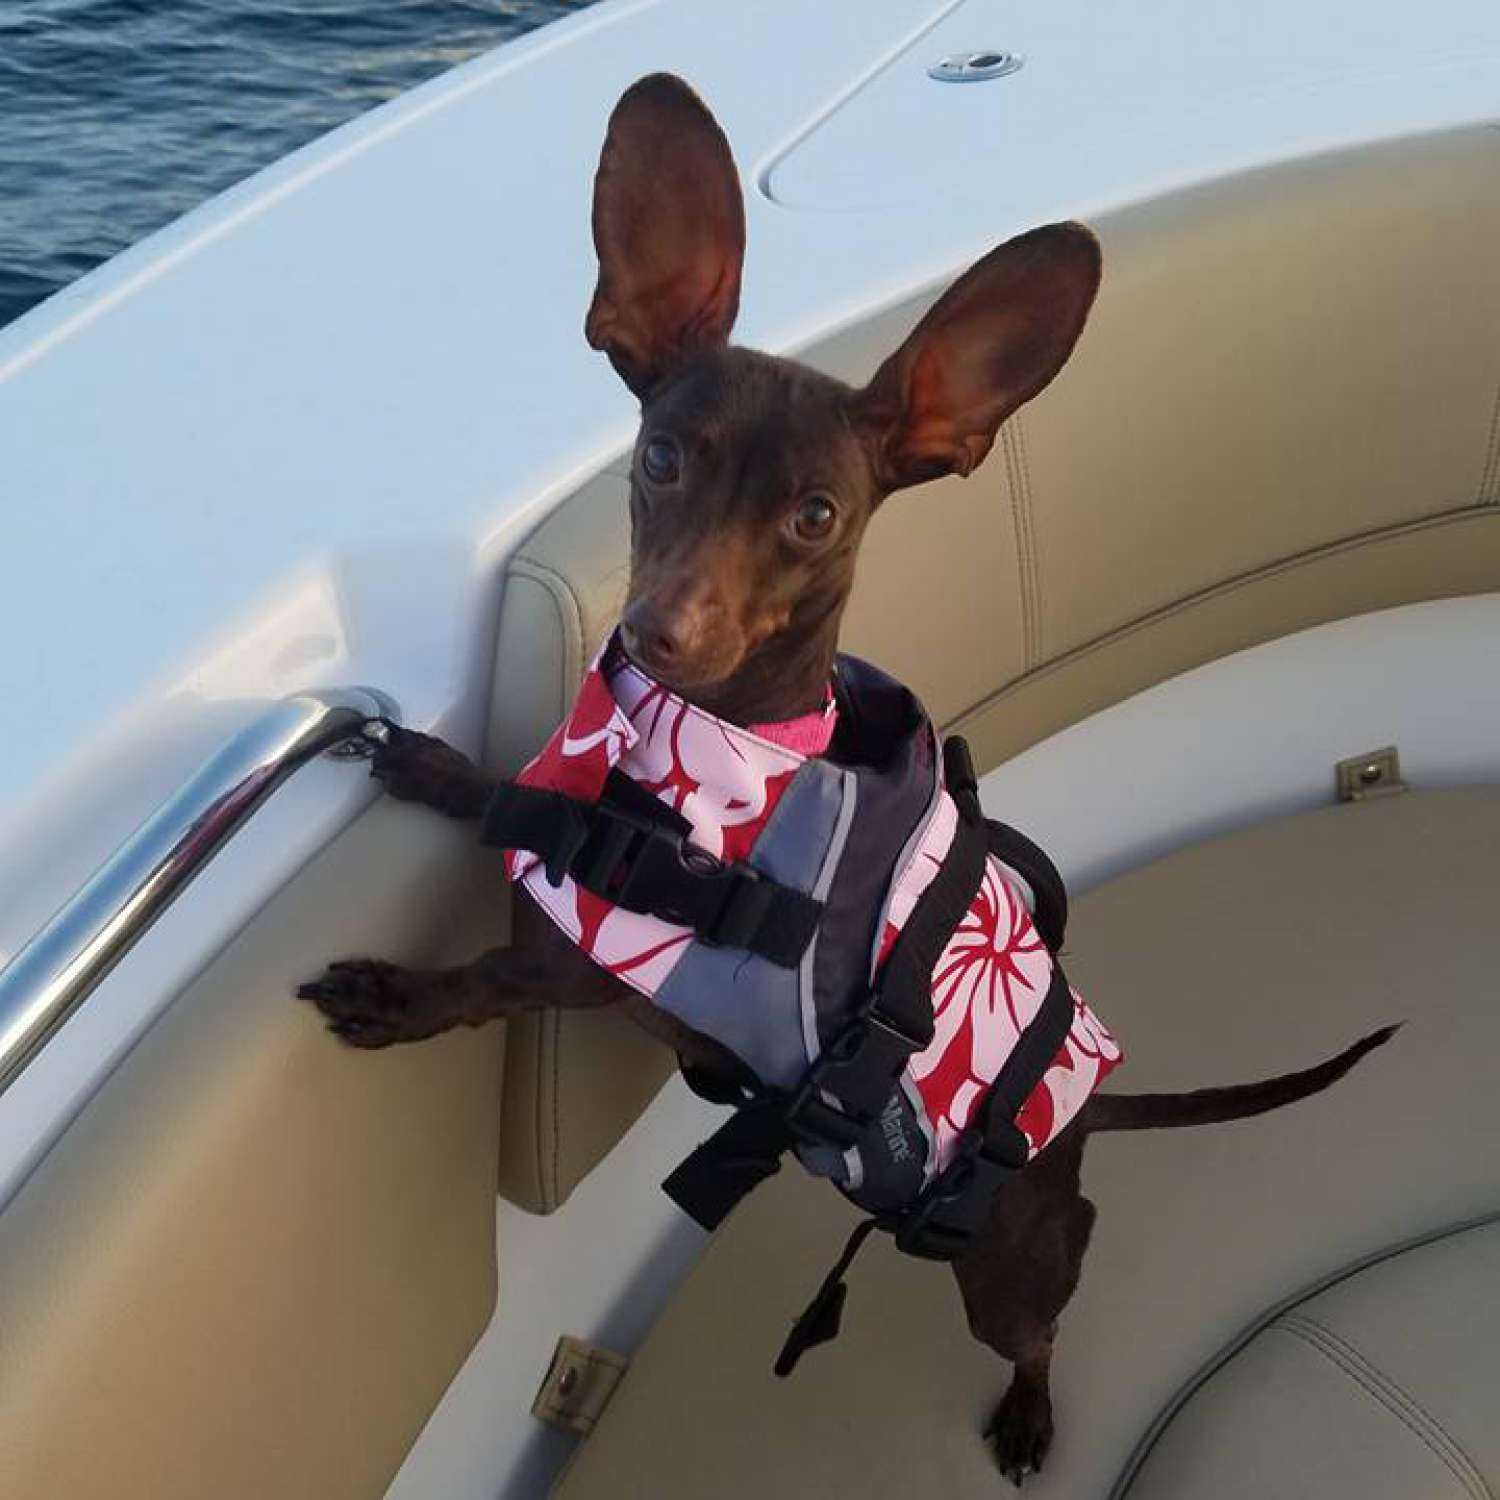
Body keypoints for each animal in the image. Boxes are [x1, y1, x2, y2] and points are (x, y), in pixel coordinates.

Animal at [301, 73, 1392, 1488]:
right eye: (661, 457)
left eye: (816, 515)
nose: (660, 633)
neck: (698, 756)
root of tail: (1086, 1121)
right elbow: (498, 793)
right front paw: (432, 763)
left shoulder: (587, 967)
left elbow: (483, 977)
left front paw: (392, 996)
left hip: (1004, 1269)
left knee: (1043, 1318)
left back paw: (1032, 1410)